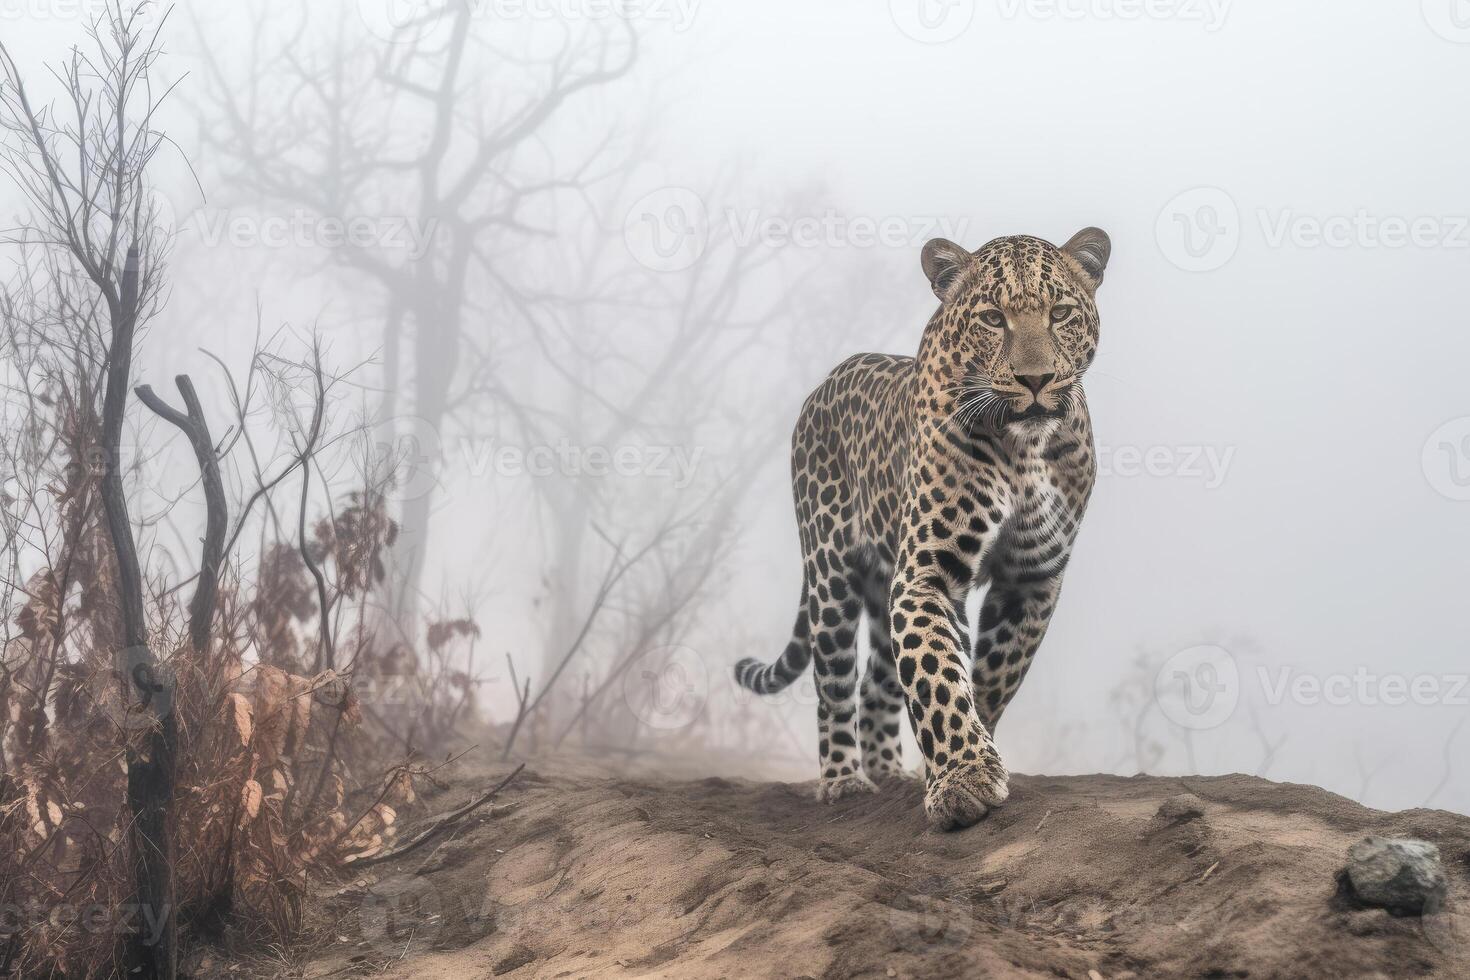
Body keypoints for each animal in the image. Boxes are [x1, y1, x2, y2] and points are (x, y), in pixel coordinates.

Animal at [729, 227, 1105, 828]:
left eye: (1061, 312)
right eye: (993, 317)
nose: (1036, 380)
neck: (1026, 449)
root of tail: (826, 381)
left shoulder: (1031, 580)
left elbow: (985, 681)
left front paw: (955, 767)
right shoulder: (928, 573)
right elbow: (937, 676)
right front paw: (963, 783)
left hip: (883, 586)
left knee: (877, 682)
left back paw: (888, 772)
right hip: (830, 575)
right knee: (834, 682)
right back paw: (844, 781)